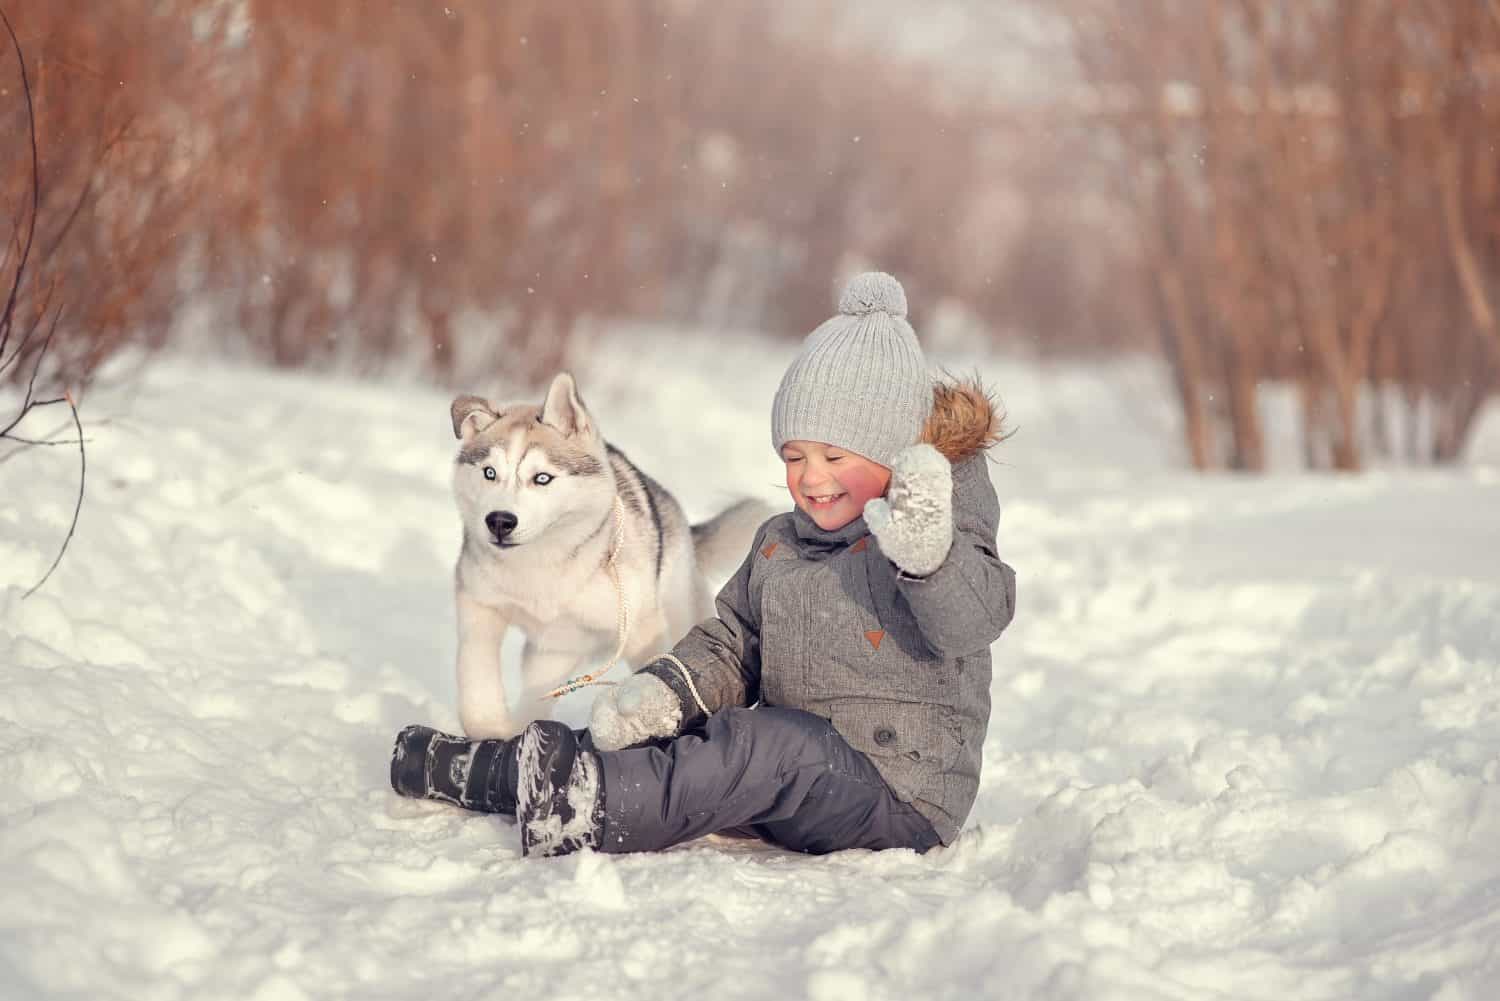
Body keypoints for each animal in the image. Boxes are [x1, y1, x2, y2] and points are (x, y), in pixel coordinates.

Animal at [447, 372, 774, 741]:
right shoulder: (478, 602)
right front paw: (489, 726)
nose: (500, 521)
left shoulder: (641, 628)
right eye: (489, 473)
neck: (543, 565)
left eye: (542, 478)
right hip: (551, 652)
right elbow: (475, 671)